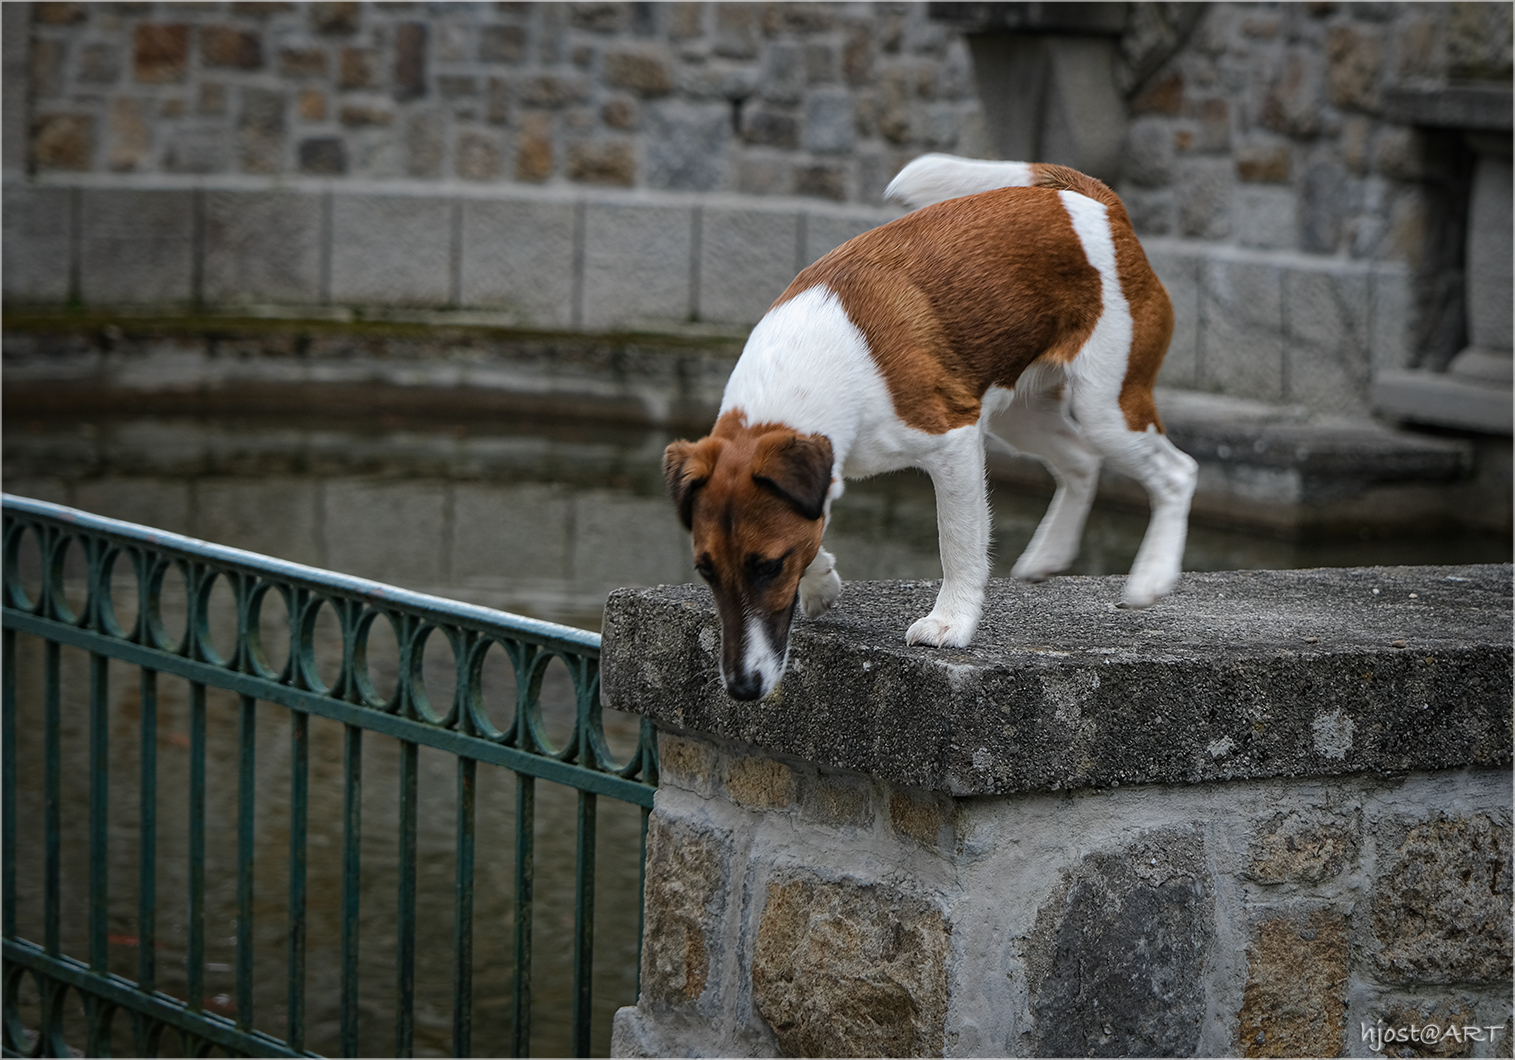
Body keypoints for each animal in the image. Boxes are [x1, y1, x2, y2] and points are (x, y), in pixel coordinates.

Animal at [663, 152, 1193, 699]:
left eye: (769, 566)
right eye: (705, 570)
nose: (743, 688)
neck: (800, 373)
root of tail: (1095, 202)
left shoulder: (953, 443)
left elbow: (958, 543)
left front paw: (951, 622)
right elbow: (817, 521)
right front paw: (822, 579)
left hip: (1105, 408)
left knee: (1177, 471)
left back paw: (1152, 577)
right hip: (1021, 417)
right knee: (1081, 463)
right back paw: (1050, 553)